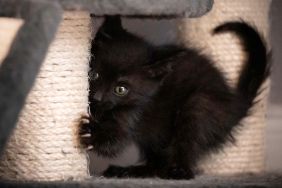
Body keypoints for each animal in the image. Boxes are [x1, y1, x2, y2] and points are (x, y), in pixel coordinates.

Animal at [79, 16, 268, 180]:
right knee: (156, 161)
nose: (97, 97)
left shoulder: (136, 111)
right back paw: (129, 171)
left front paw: (91, 131)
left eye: (120, 89)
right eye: (93, 75)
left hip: (200, 104)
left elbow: (113, 141)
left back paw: (178, 172)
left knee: (185, 143)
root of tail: (234, 104)